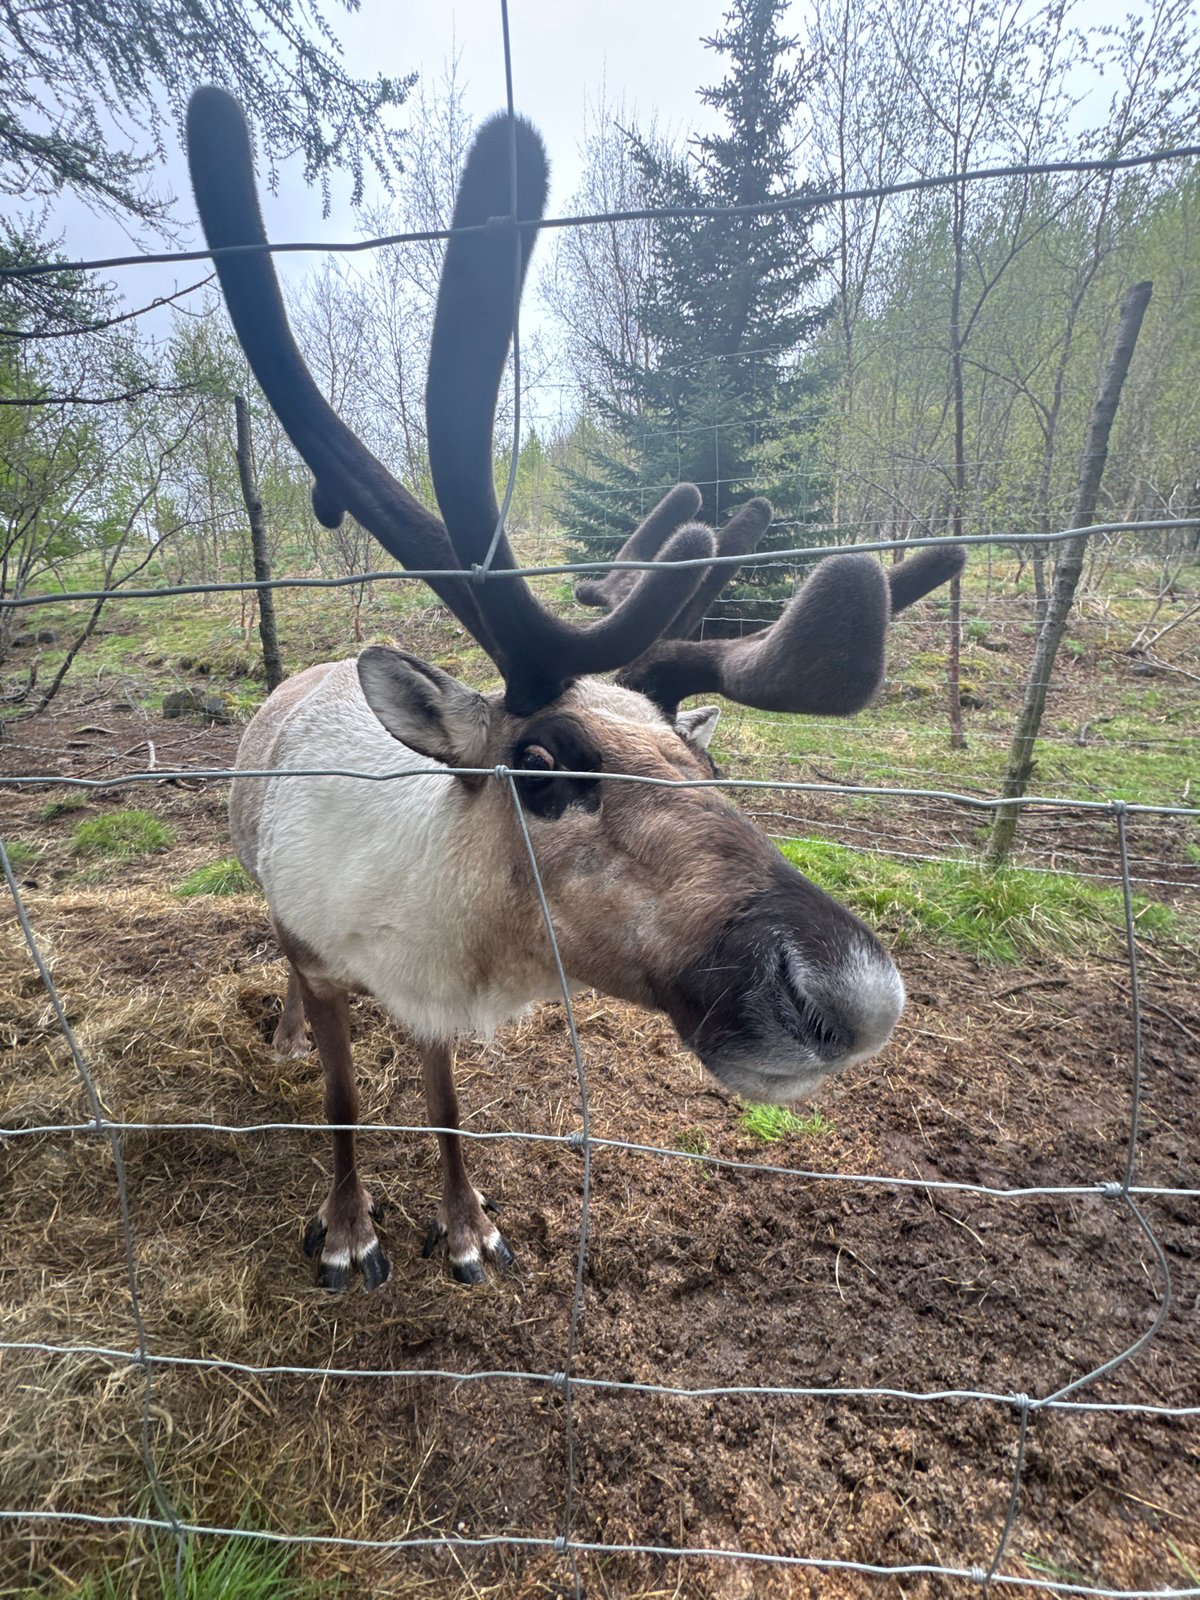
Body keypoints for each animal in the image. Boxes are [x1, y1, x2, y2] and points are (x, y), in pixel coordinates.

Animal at [186, 89, 964, 1293]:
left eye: (704, 759)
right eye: (542, 764)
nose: (856, 998)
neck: (440, 926)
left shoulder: (434, 1001)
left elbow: (446, 1104)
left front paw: (466, 1224)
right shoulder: (321, 950)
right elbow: (343, 1096)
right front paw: (350, 1227)